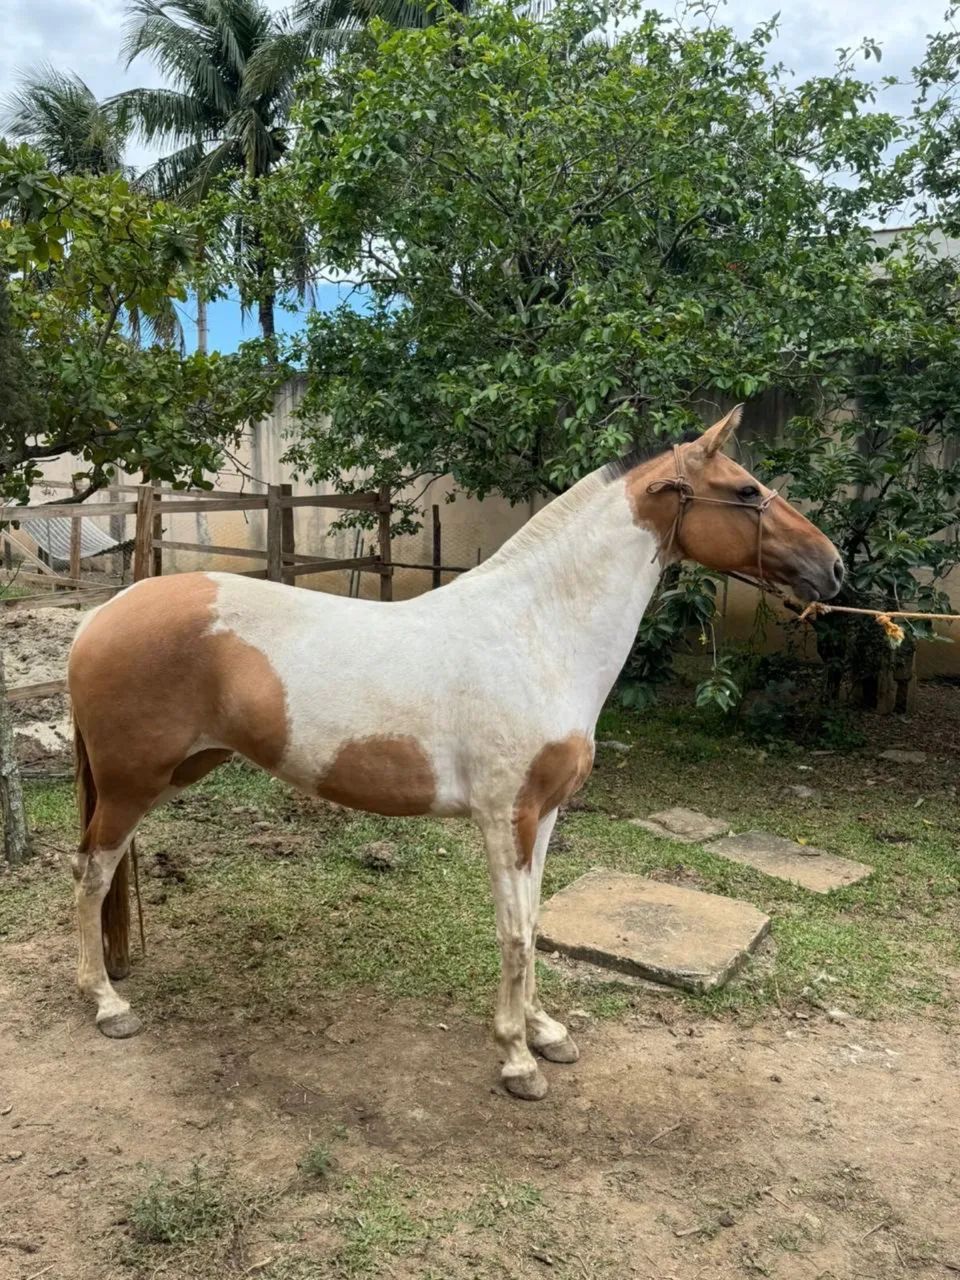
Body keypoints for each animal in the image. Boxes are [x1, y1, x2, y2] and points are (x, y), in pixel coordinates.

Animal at [67, 406, 843, 1101]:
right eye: (746, 491)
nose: (832, 568)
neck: (537, 633)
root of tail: (101, 615)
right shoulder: (506, 818)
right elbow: (515, 934)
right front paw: (517, 1061)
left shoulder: (544, 816)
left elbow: (534, 920)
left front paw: (545, 1033)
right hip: (132, 784)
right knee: (92, 873)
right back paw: (107, 1004)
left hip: (171, 773)